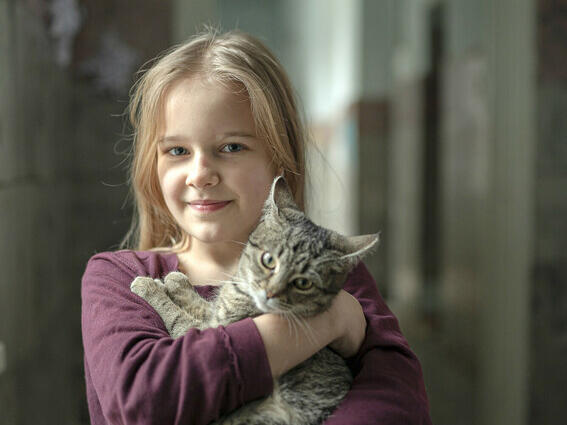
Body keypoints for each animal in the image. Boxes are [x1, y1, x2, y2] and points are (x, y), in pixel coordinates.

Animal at [129, 174, 378, 422]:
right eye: (268, 260)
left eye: (303, 283)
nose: (270, 293)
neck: (242, 292)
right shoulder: (217, 313)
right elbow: (202, 303)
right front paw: (176, 282)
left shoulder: (205, 332)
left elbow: (177, 316)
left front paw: (150, 287)